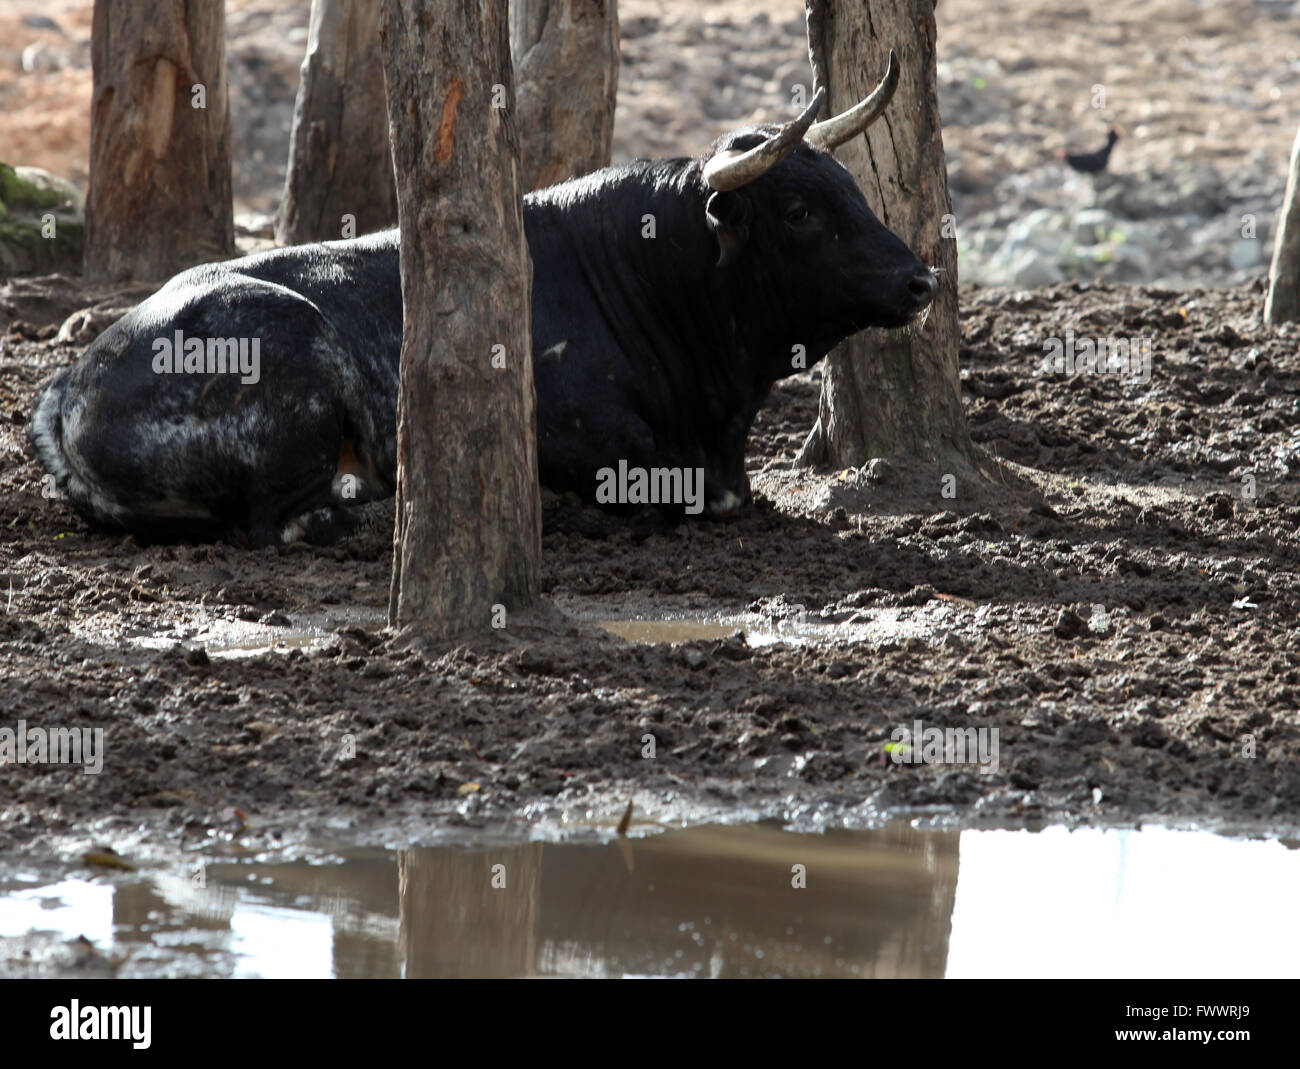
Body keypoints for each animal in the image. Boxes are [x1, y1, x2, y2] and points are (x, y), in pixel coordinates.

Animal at [27, 73, 935, 543]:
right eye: (801, 211)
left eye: (850, 187)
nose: (919, 281)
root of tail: (72, 381)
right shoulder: (592, 448)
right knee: (287, 520)